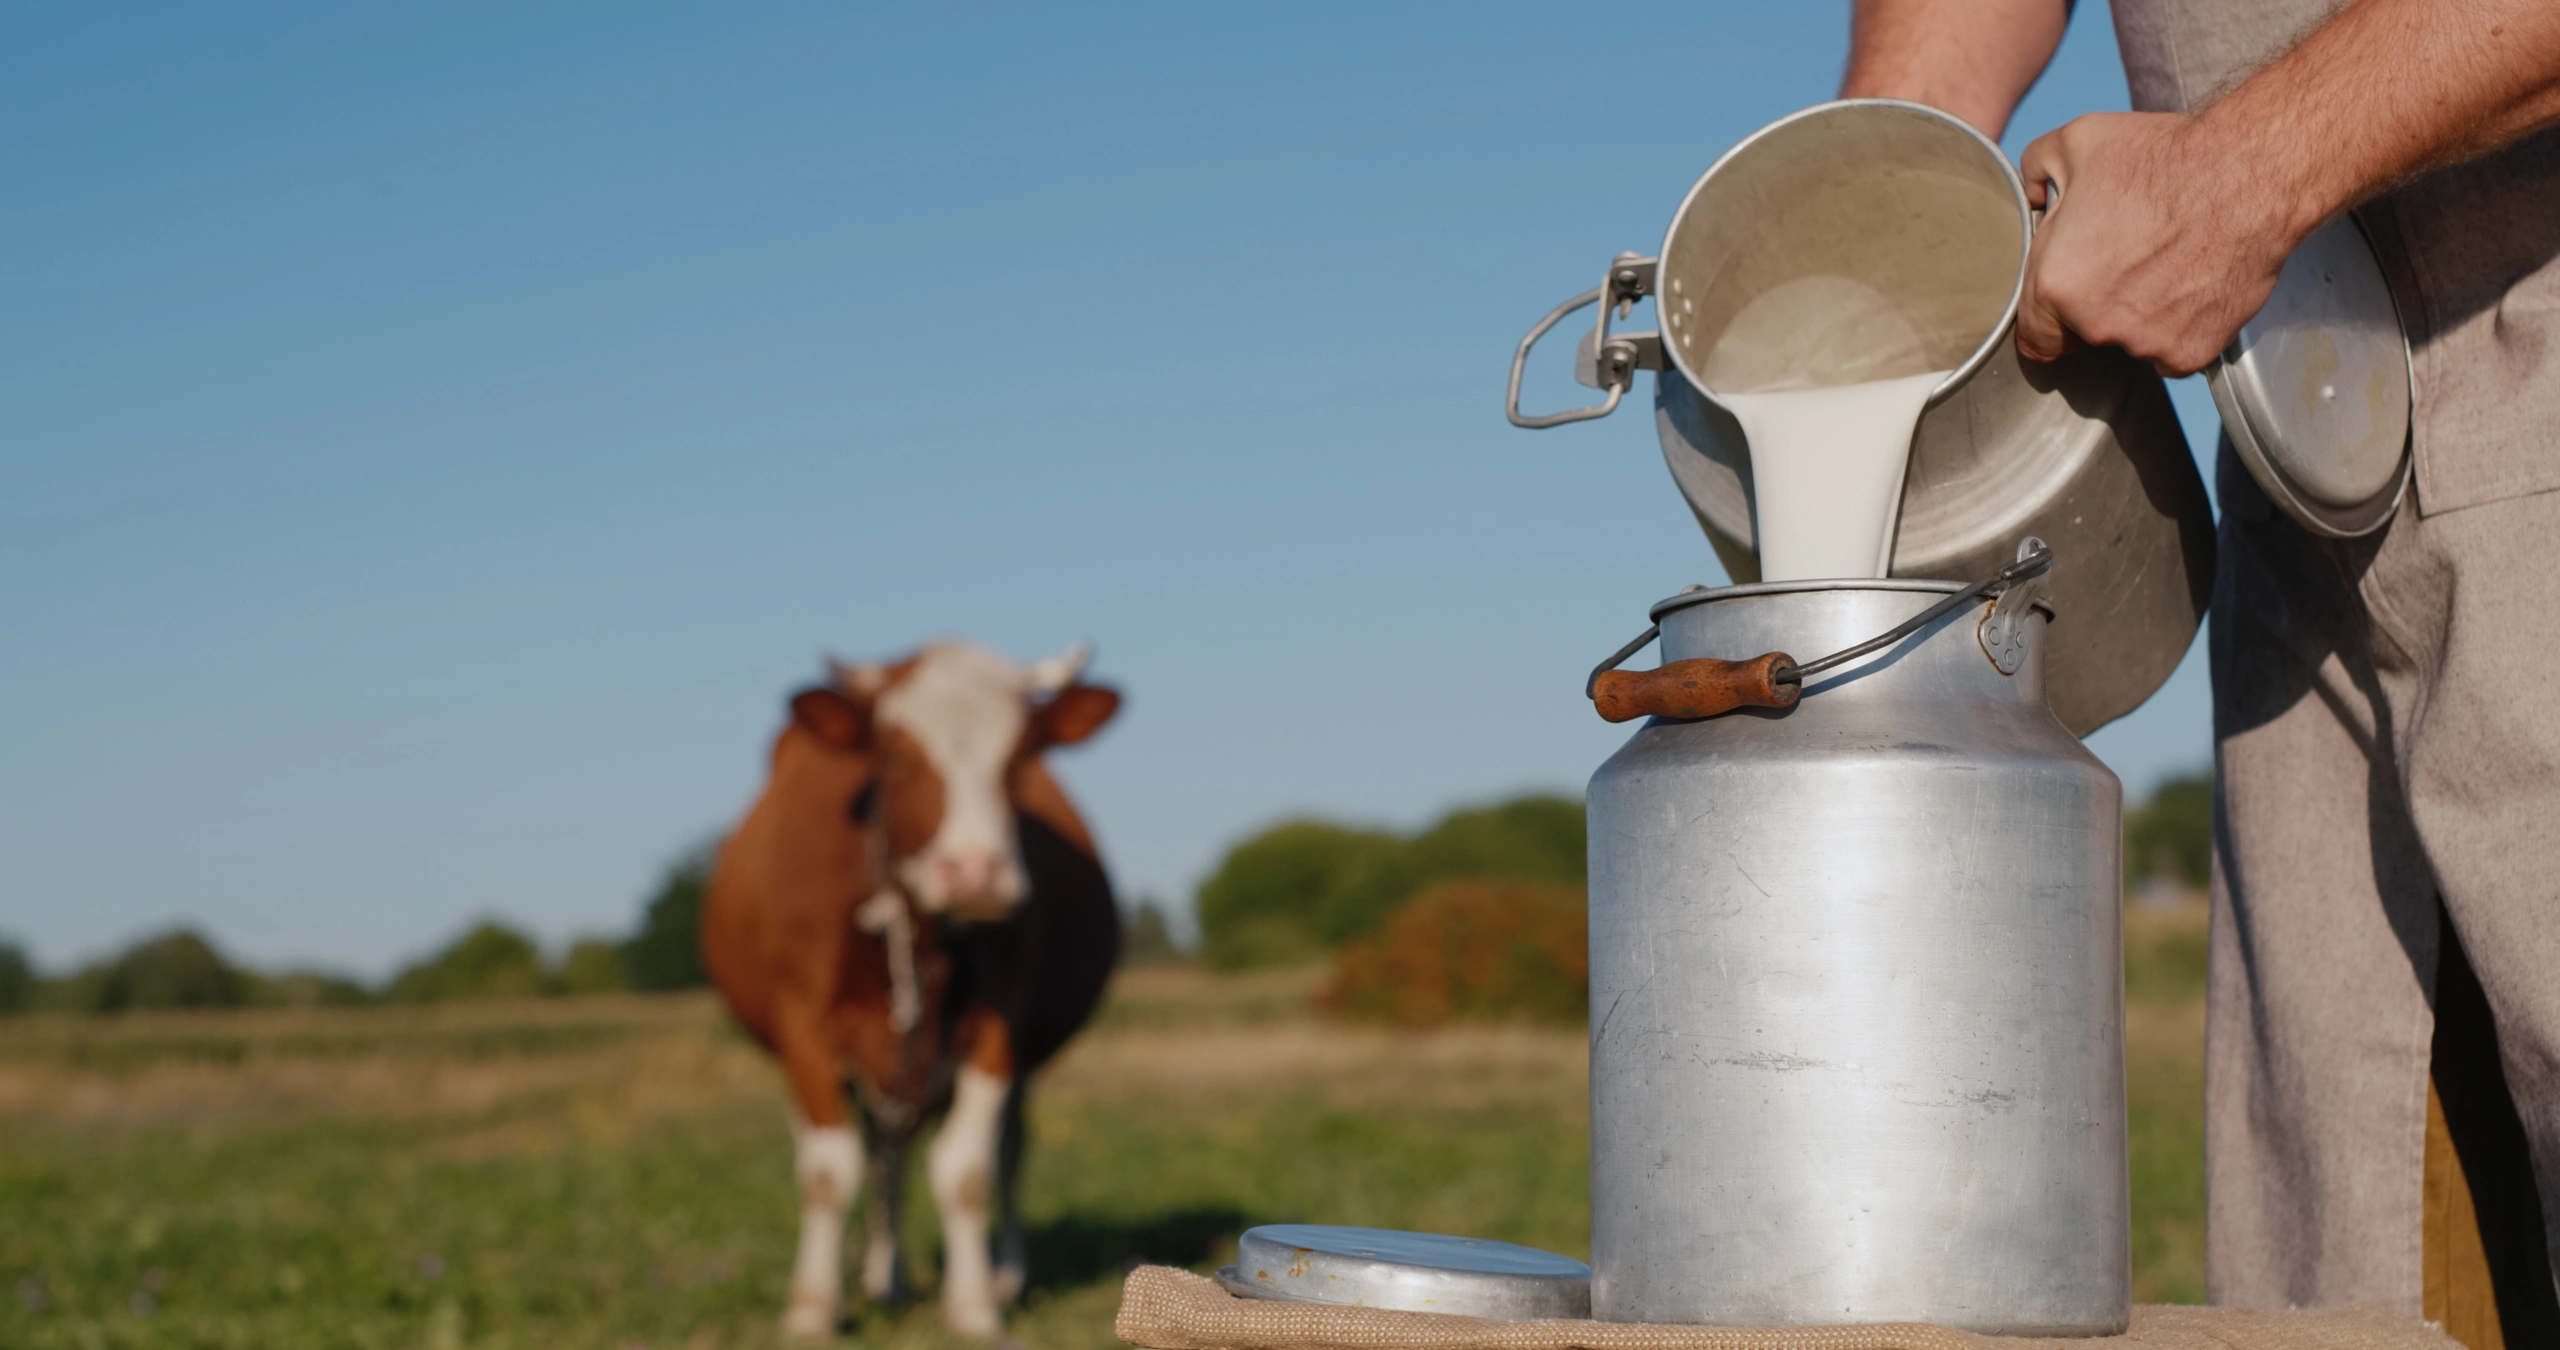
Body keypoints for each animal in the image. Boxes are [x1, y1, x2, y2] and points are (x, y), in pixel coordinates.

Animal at [711, 645, 1131, 1342]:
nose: (976, 872)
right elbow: (828, 1173)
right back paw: (886, 1279)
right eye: (897, 757)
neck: (916, 923)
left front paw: (974, 1306)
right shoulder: (804, 1027)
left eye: (1020, 758)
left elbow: (966, 1170)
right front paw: (812, 1309)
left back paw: (1001, 1274)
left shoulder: (1000, 1027)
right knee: (878, 1154)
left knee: (1002, 1150)